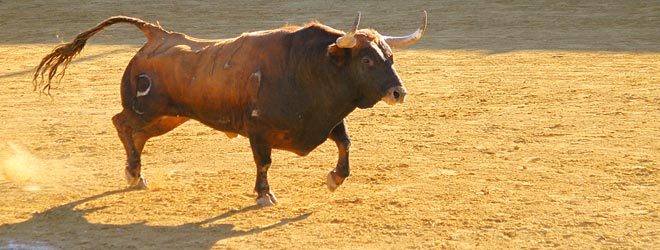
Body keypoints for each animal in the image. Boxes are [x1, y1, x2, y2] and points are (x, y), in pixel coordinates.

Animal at [34, 11, 428, 206]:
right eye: (367, 60)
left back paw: (136, 174)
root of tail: (156, 35)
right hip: (148, 110)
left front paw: (335, 179)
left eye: (390, 57)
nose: (398, 92)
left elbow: (345, 144)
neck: (311, 66)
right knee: (122, 124)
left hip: (169, 117)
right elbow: (264, 162)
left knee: (136, 134)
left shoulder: (326, 120)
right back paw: (133, 172)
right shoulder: (258, 130)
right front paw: (264, 195)